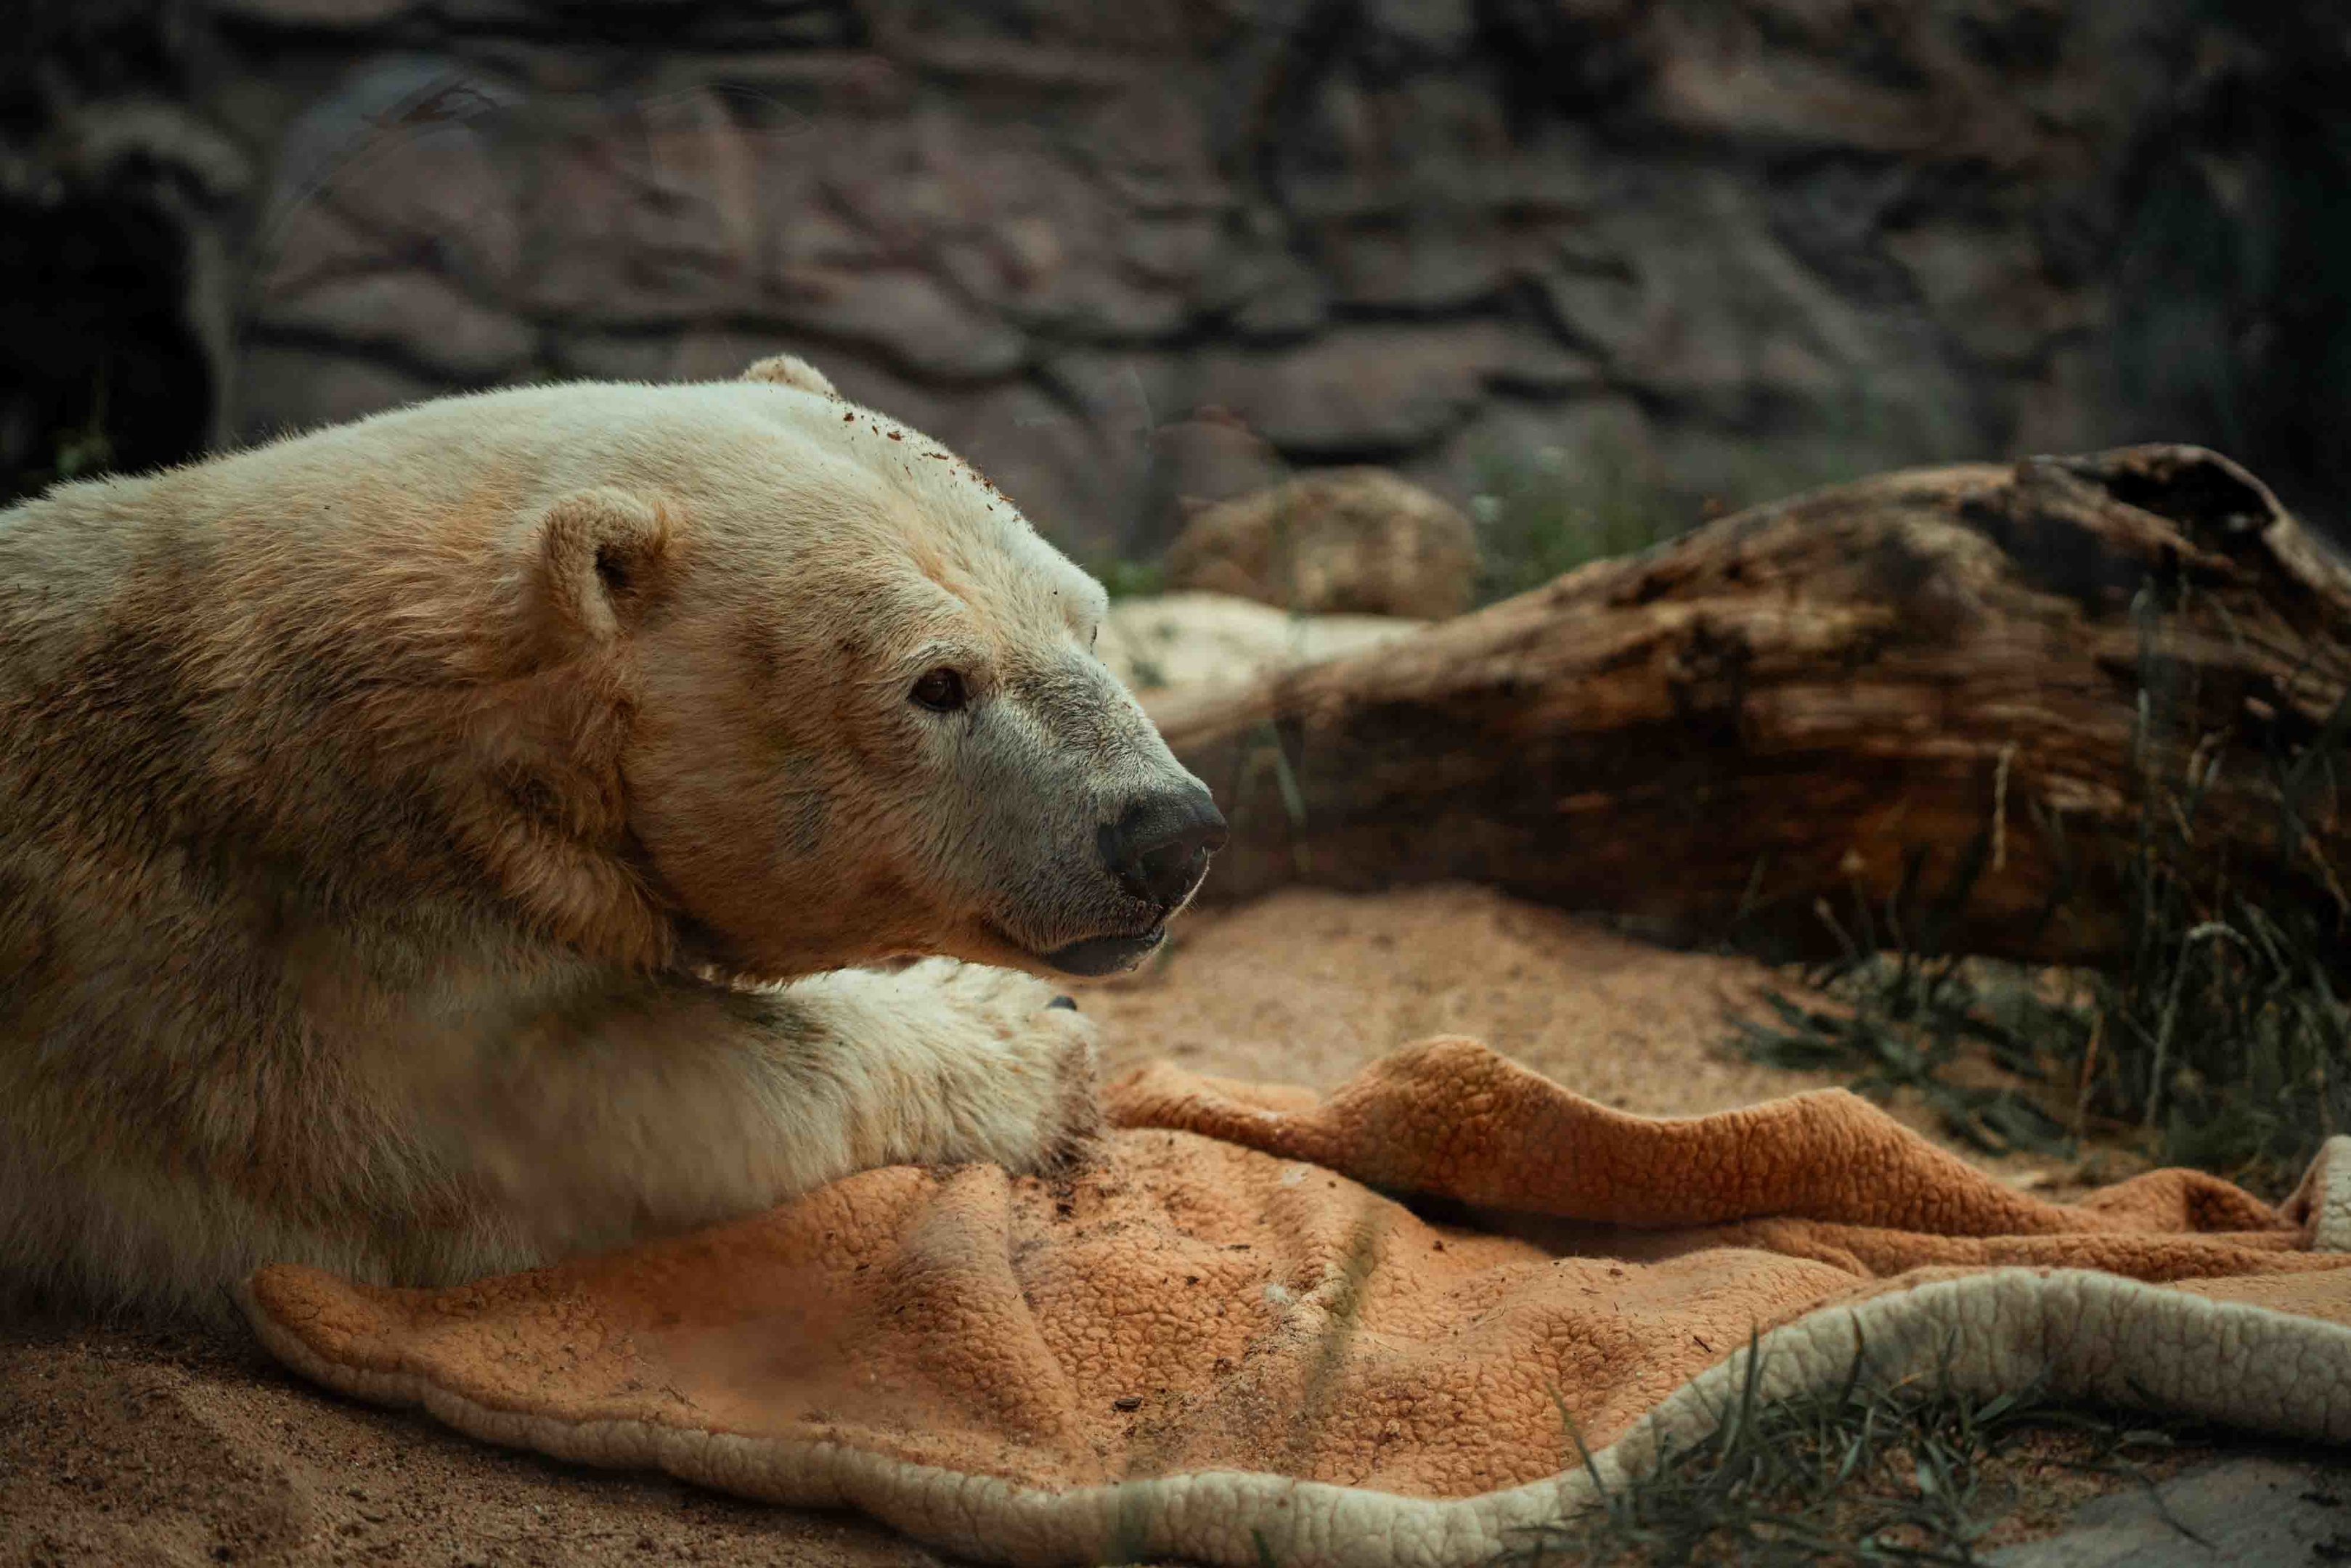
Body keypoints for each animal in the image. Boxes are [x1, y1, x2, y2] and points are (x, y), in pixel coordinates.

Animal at [0, 352, 1226, 1322]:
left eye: (1086, 619)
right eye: (936, 682)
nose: (1169, 833)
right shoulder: (295, 977)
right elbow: (635, 1107)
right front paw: (1025, 1032)